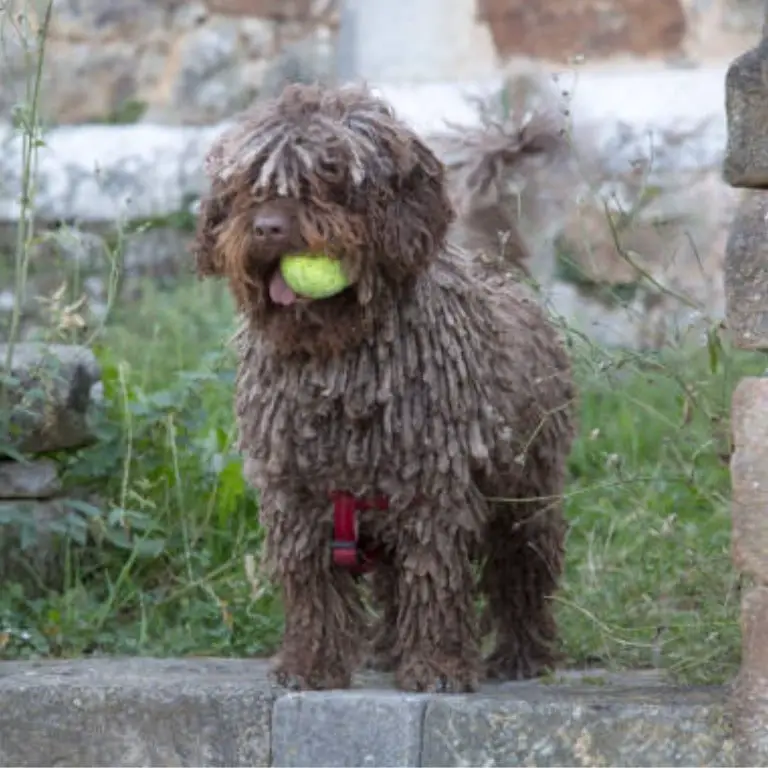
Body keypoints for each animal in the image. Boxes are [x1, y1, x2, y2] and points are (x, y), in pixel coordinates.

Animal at [192, 81, 576, 692]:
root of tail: (505, 273)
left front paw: (437, 667)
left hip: (527, 489)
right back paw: (393, 650)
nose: (268, 228)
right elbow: (313, 588)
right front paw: (311, 664)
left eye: (329, 177)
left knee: (522, 569)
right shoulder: (295, 493)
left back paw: (521, 655)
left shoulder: (433, 486)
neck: (336, 362)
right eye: (252, 185)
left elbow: (435, 580)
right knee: (397, 582)